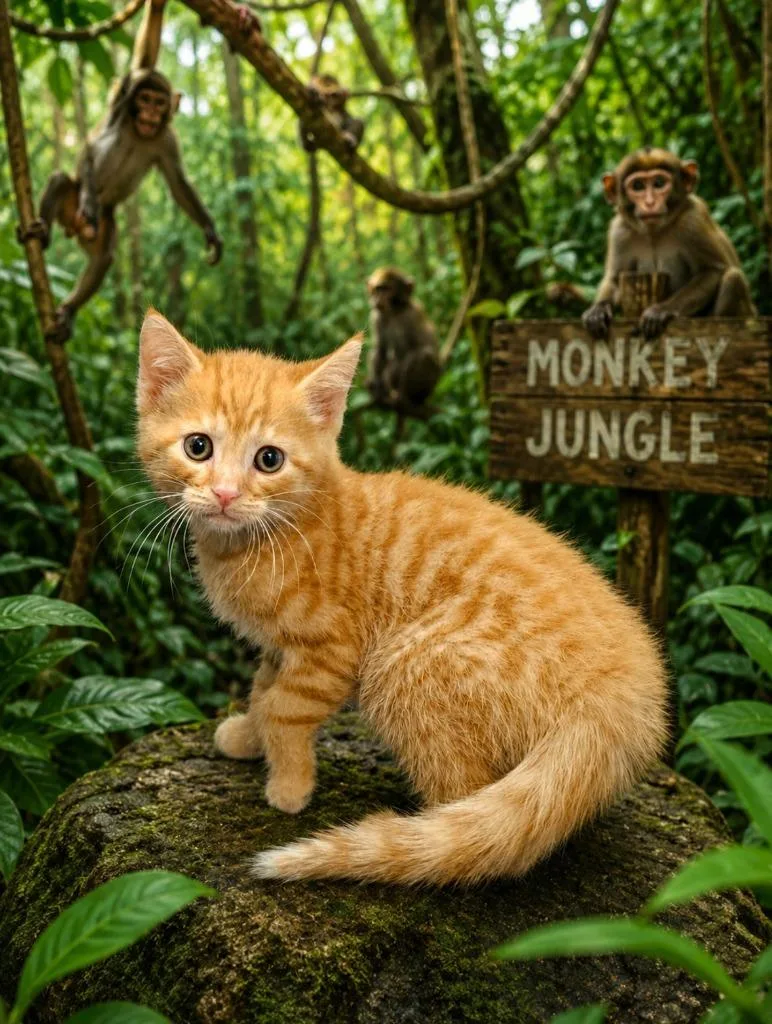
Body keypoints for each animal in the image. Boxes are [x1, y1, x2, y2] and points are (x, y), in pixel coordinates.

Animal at [32, 0, 222, 342]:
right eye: (144, 99)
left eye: (158, 102)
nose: (149, 112)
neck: (140, 132)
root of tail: (72, 227)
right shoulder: (120, 111)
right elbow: (90, 149)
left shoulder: (165, 138)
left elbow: (178, 183)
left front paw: (210, 231)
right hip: (76, 206)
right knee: (62, 180)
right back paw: (44, 231)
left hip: (104, 225)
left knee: (103, 256)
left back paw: (69, 311)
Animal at [366, 267, 442, 413]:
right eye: (377, 289)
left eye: (386, 289)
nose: (377, 299)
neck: (394, 311)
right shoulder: (376, 317)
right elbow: (380, 350)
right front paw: (378, 388)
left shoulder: (411, 316)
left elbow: (416, 350)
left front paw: (401, 395)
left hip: (428, 390)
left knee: (425, 356)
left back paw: (410, 398)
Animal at [582, 147, 756, 341]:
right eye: (637, 186)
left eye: (659, 183)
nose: (650, 203)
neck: (655, 232)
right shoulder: (619, 231)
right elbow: (613, 279)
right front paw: (598, 309)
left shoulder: (693, 220)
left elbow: (713, 270)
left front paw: (662, 310)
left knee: (733, 278)